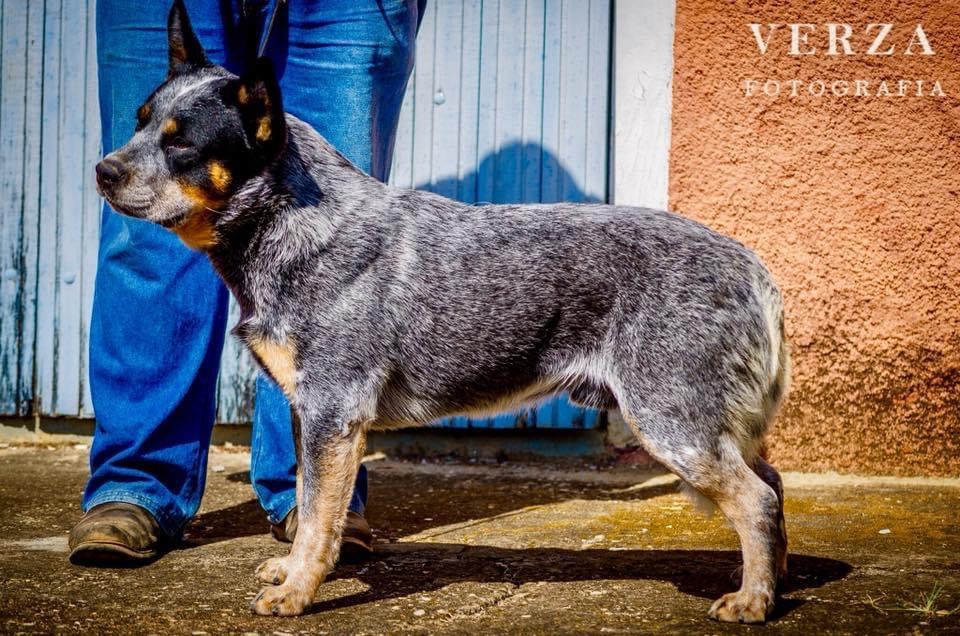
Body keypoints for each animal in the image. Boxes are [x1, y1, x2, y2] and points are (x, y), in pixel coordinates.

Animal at [94, 0, 792, 624]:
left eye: (183, 146)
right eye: (139, 121)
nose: (102, 170)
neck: (292, 223)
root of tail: (754, 269)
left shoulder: (332, 411)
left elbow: (319, 518)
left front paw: (296, 593)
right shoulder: (306, 410)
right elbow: (308, 501)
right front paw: (290, 571)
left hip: (672, 420)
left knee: (757, 498)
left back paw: (752, 602)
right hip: (705, 425)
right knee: (774, 483)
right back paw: (772, 582)